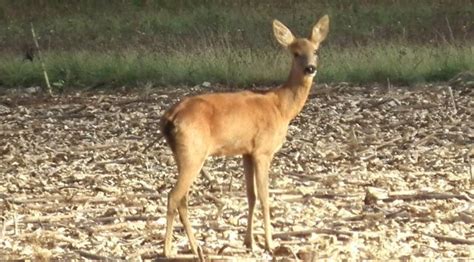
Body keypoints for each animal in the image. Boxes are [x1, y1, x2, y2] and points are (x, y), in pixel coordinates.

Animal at [161, 15, 332, 256]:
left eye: (316, 50)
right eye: (295, 53)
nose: (310, 68)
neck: (281, 107)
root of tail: (169, 118)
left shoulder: (247, 152)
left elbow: (250, 195)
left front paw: (250, 241)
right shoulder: (263, 150)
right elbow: (264, 196)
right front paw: (270, 244)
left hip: (182, 153)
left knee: (182, 198)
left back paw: (195, 247)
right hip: (193, 151)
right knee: (173, 195)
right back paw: (169, 250)